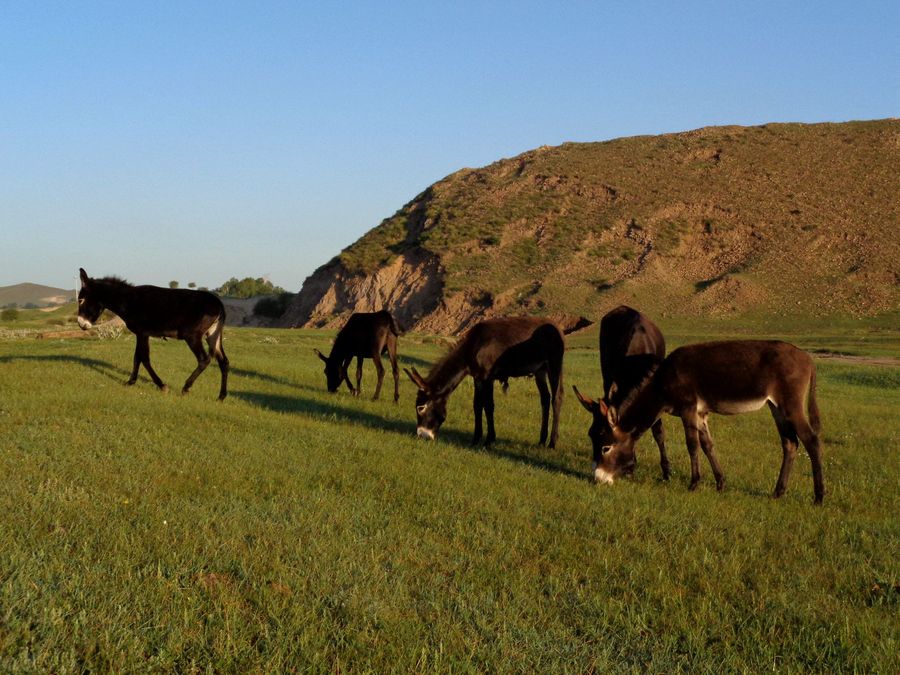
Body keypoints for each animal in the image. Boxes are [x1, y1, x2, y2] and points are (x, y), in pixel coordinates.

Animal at [76, 268, 229, 400]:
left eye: (81, 300)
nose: (81, 324)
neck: (129, 300)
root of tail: (218, 304)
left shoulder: (143, 333)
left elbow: (144, 358)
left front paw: (162, 386)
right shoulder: (141, 334)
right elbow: (137, 357)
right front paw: (130, 382)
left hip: (192, 336)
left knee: (204, 359)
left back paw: (186, 387)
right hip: (213, 335)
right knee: (224, 362)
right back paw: (221, 397)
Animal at [405, 316, 564, 447]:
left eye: (420, 408)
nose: (422, 435)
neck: (473, 346)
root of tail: (556, 326)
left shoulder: (488, 377)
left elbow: (488, 406)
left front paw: (489, 440)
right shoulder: (478, 378)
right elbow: (477, 405)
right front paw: (476, 439)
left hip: (554, 366)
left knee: (556, 398)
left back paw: (552, 442)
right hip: (540, 371)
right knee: (545, 398)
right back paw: (542, 440)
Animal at [573, 305, 670, 481]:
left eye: (606, 447)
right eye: (591, 436)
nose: (598, 477)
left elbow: (658, 431)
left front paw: (666, 472)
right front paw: (631, 468)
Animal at [574, 340, 824, 503]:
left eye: (606, 447)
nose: (598, 479)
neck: (661, 382)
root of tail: (807, 358)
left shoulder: (688, 409)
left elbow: (692, 445)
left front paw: (694, 483)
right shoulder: (701, 414)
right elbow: (707, 446)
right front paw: (720, 483)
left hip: (791, 405)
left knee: (811, 440)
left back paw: (819, 496)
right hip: (776, 407)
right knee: (790, 443)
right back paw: (778, 492)